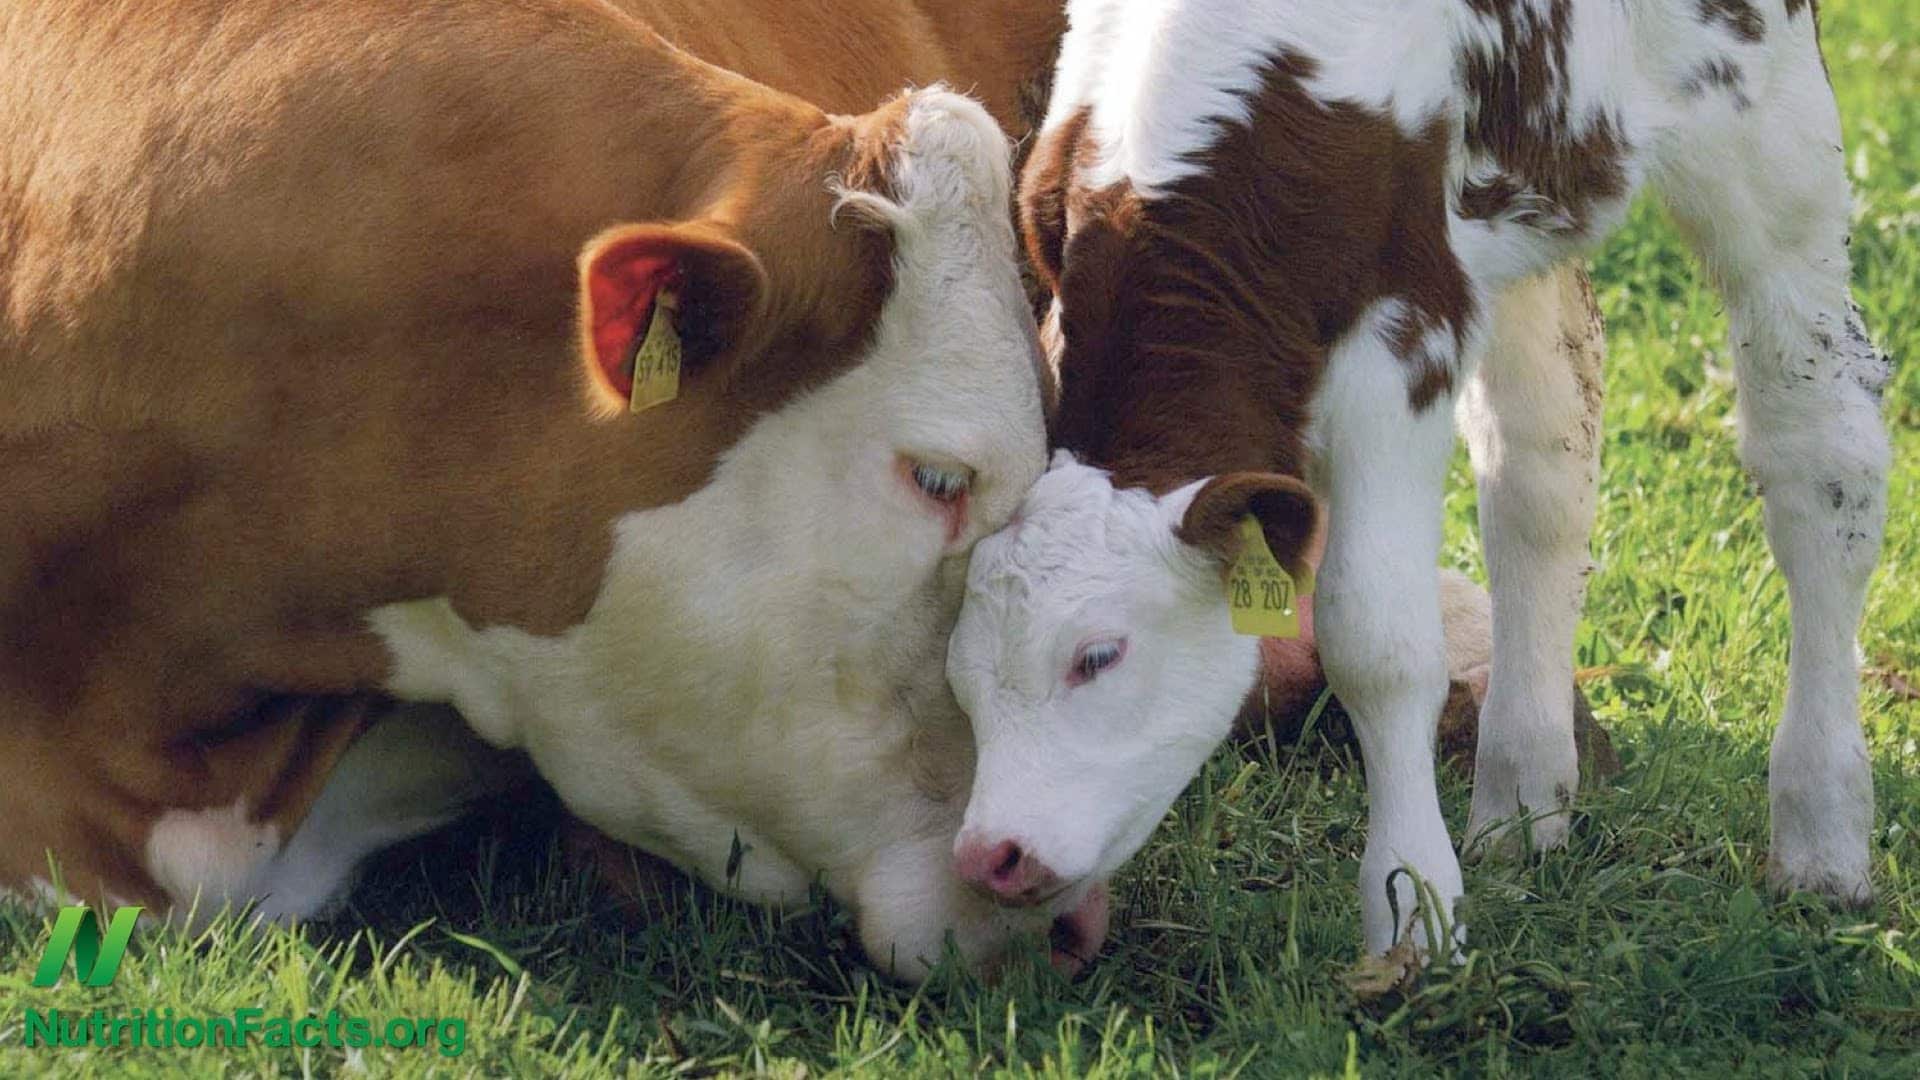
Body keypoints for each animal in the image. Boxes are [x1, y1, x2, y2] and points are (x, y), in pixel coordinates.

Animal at [945, 0, 1890, 960]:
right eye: (959, 679)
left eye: (1097, 656)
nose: (992, 856)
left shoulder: (1403, 340)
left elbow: (1377, 644)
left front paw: (1413, 914)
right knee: (1543, 461)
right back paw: (1521, 804)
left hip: (1767, 121)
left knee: (1823, 452)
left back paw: (1823, 839)